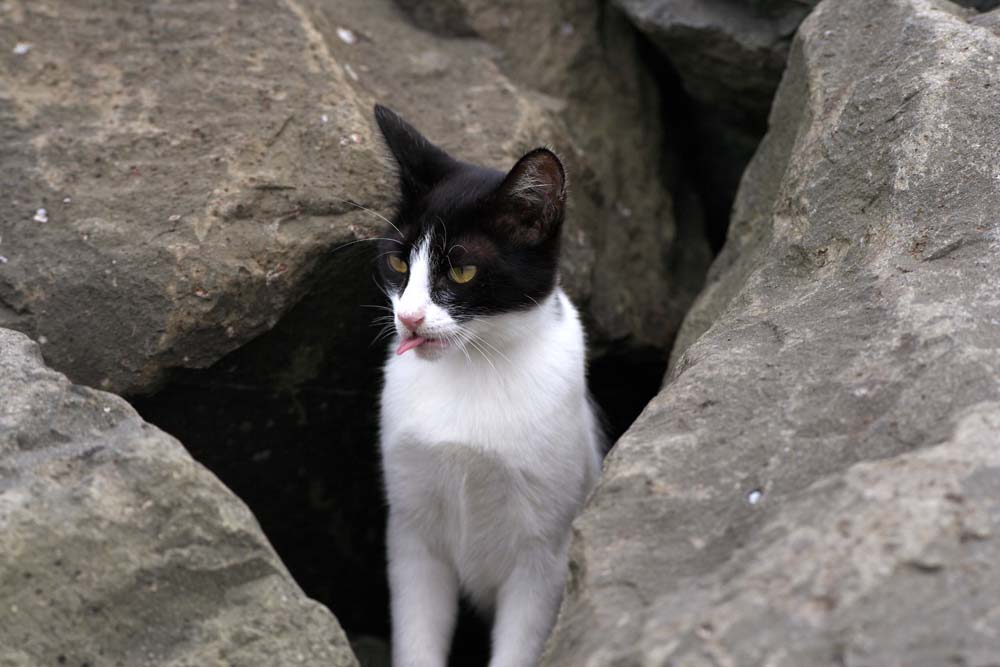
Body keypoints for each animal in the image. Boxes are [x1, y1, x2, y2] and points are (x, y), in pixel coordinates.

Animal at [370, 104, 596, 667]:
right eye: (399, 262)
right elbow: (417, 638)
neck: (471, 369)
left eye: (463, 271)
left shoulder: (546, 552)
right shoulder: (411, 533)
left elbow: (519, 645)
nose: (408, 318)